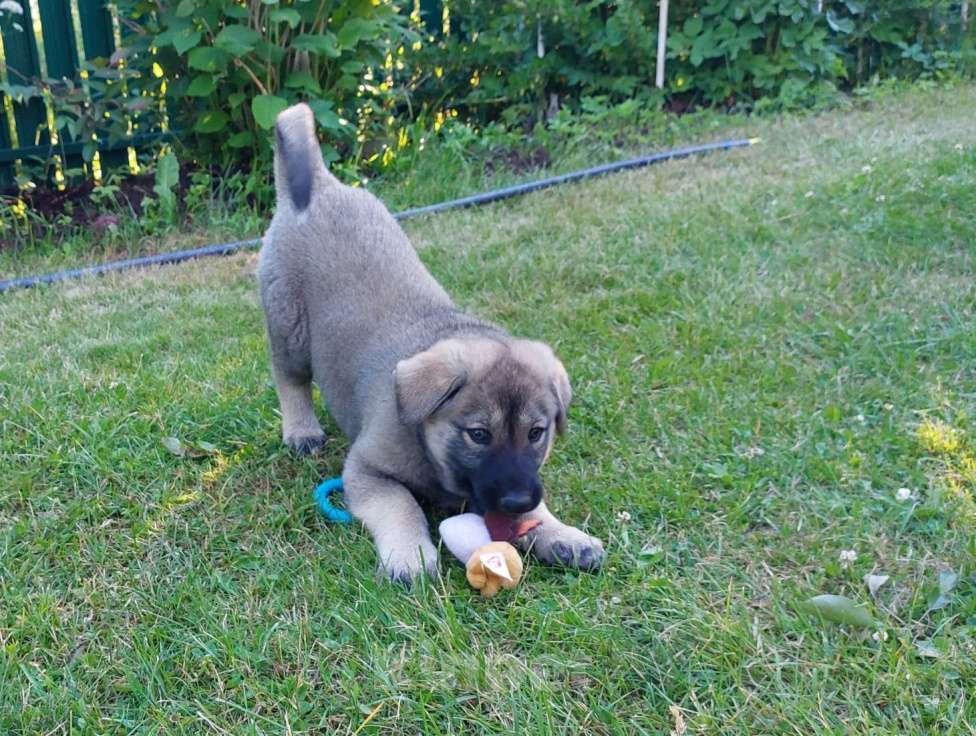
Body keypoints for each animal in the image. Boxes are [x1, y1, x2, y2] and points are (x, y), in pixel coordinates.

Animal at [258, 103, 604, 584]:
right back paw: (301, 430)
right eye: (478, 434)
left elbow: (539, 510)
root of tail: (319, 187)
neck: (427, 444)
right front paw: (409, 553)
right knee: (289, 378)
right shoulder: (366, 470)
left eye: (537, 433)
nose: (517, 501)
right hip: (288, 324)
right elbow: (400, 504)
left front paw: (562, 535)